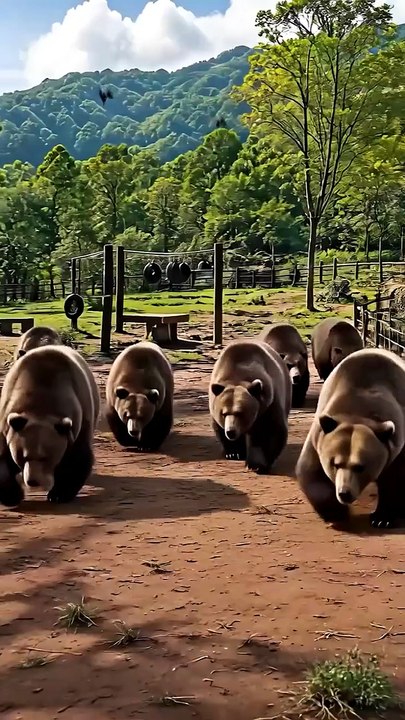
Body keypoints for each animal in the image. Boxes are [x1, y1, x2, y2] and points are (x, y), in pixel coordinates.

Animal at [0, 345, 100, 508]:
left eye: (46, 458)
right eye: (23, 456)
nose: (33, 482)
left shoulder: (79, 416)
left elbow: (77, 458)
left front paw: (58, 494)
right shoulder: (7, 421)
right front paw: (13, 496)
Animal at [209, 339, 291, 474]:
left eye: (240, 412)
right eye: (223, 413)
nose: (230, 431)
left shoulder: (268, 404)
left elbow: (269, 431)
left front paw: (258, 464)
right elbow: (219, 428)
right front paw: (234, 453)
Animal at [295, 347, 405, 529]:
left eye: (361, 467)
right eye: (335, 463)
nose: (344, 493)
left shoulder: (397, 445)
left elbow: (395, 480)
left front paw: (382, 518)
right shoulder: (320, 435)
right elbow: (311, 471)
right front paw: (336, 512)